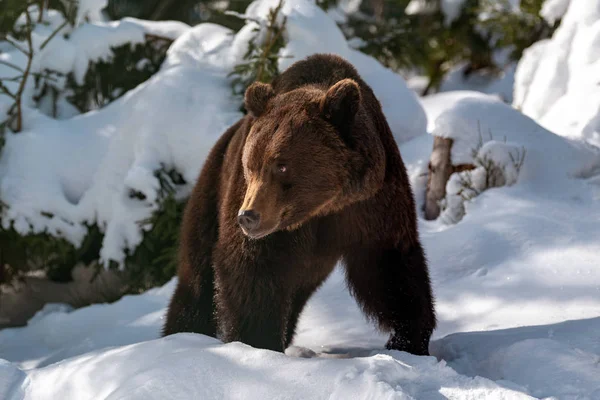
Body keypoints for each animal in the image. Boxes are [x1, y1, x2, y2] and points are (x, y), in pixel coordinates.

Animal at [163, 53, 436, 356]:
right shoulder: (267, 224)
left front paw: (407, 340)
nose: (248, 216)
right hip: (211, 195)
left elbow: (390, 267)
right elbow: (251, 269)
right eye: (251, 165)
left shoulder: (372, 204)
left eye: (281, 165)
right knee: (196, 279)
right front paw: (258, 341)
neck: (323, 206)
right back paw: (181, 335)